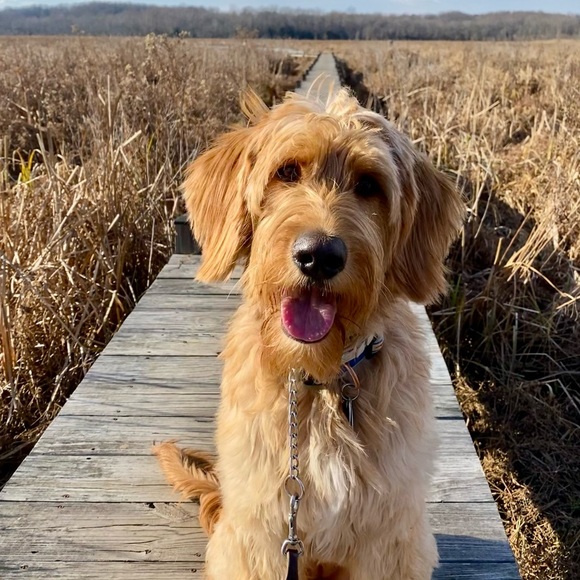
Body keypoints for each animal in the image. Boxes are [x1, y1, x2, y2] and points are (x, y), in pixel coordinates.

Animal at [154, 87, 464, 579]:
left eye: (369, 185)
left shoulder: (388, 539)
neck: (318, 377)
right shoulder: (263, 534)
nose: (319, 256)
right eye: (286, 172)